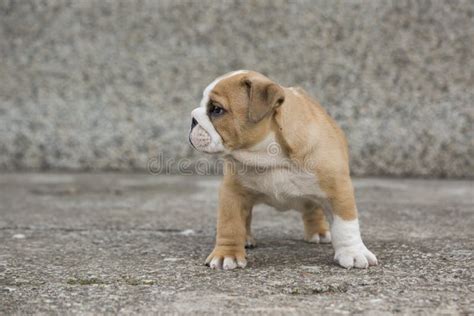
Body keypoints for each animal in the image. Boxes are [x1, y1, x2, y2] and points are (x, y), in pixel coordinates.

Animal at [189, 70, 378, 270]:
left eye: (216, 110)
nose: (192, 119)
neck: (270, 156)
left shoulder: (338, 189)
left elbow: (346, 224)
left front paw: (353, 253)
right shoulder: (232, 192)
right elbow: (230, 223)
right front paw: (227, 254)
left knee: (314, 209)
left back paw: (318, 232)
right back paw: (246, 238)